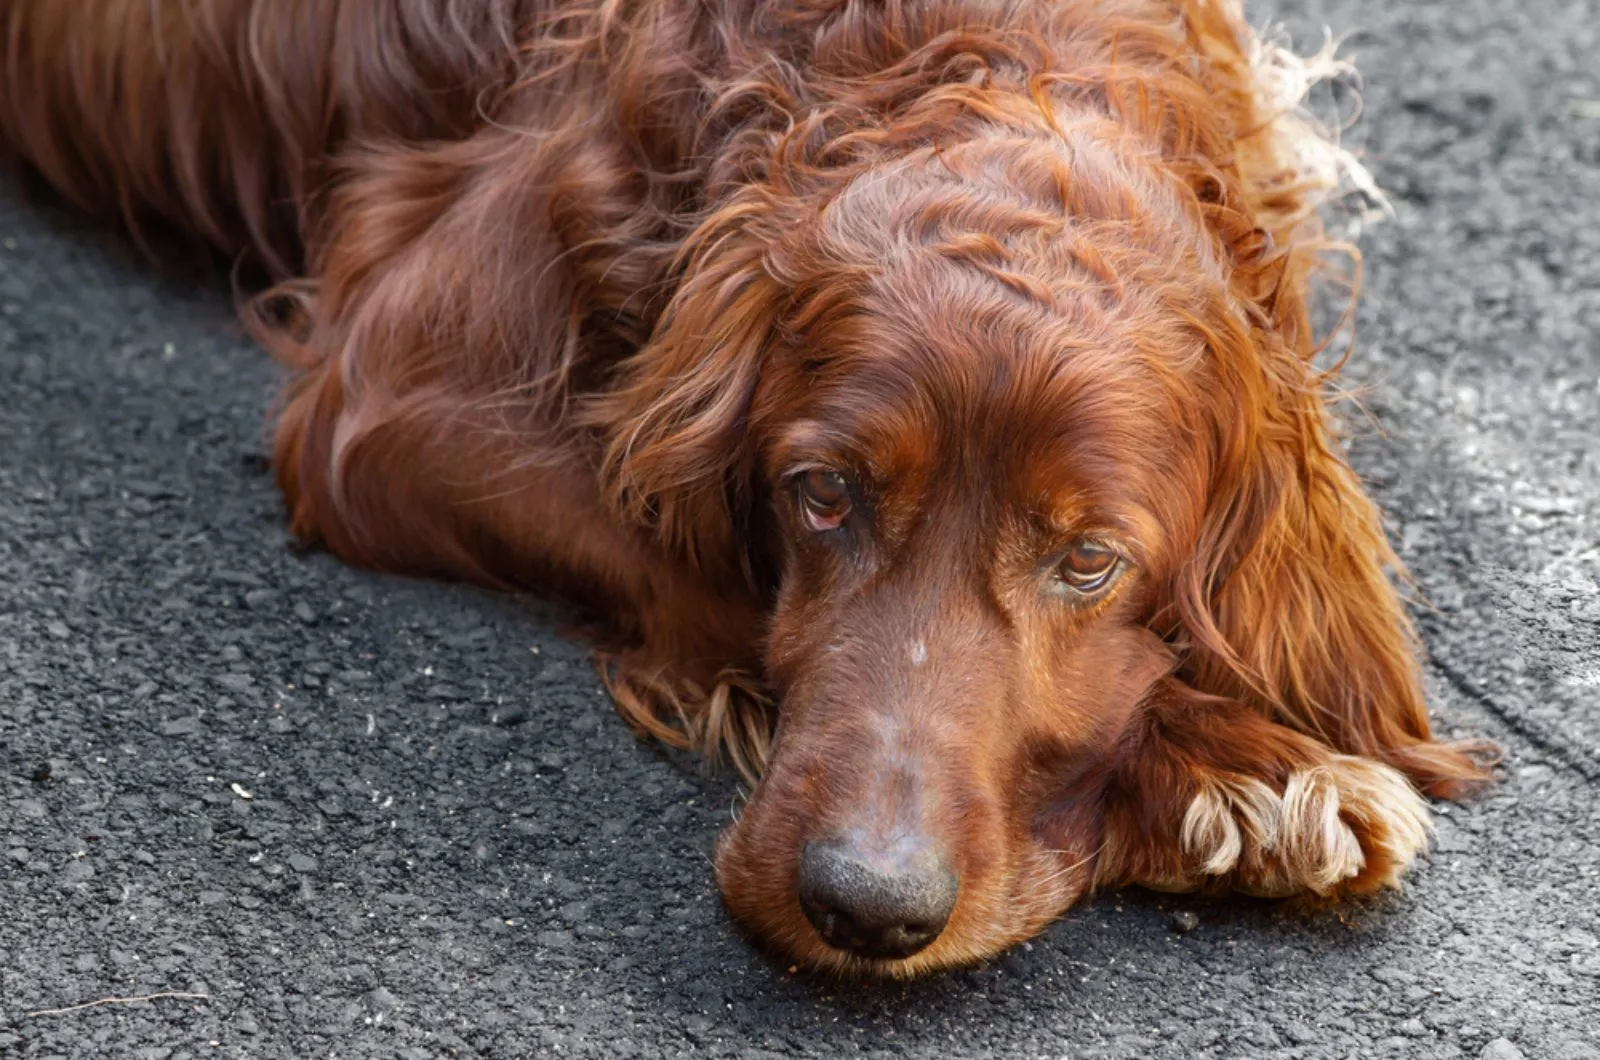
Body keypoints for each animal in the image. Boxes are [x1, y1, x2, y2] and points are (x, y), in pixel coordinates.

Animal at [6, 0, 1491, 979]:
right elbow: (697, 562)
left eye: (1089, 561)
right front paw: (1232, 771)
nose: (867, 910)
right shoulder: (383, 405)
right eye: (820, 494)